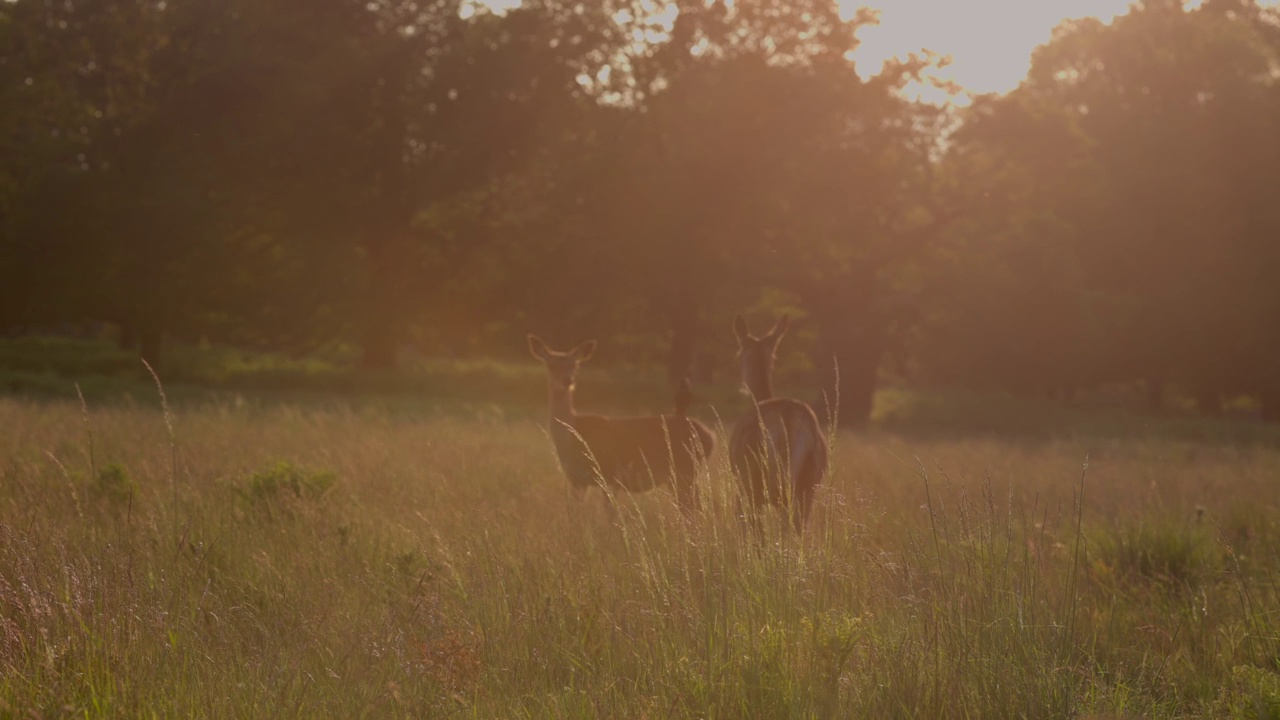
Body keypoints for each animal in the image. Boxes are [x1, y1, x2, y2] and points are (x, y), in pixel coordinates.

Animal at [524, 333, 716, 512]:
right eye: (551, 364)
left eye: (575, 365)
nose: (567, 380)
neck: (571, 438)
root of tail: (711, 437)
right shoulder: (576, 480)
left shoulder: (609, 475)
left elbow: (609, 515)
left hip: (685, 471)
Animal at [732, 313, 829, 532]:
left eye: (739, 354)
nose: (741, 386)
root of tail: (792, 422)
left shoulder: (742, 483)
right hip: (808, 486)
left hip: (761, 481)